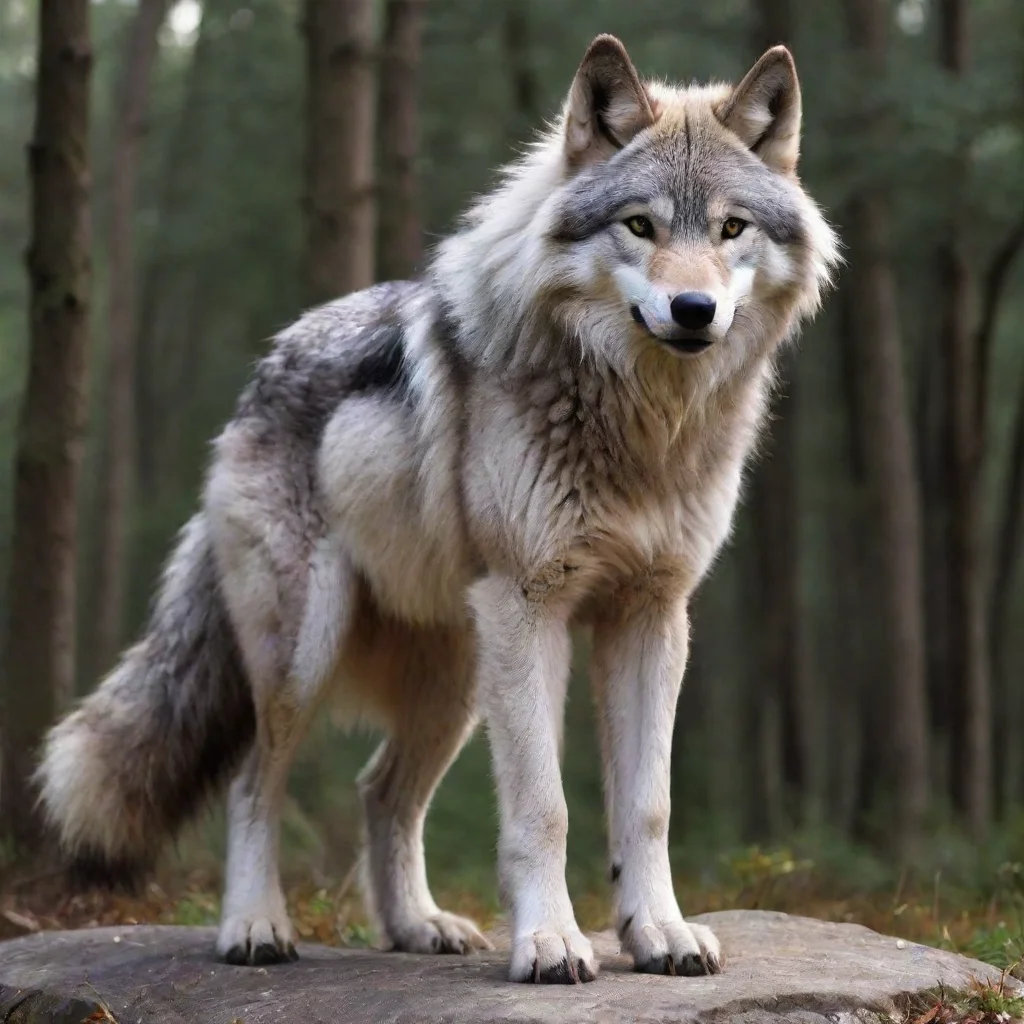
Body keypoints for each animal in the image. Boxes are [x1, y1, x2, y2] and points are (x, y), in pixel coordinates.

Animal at [37, 36, 838, 983]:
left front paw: (660, 934)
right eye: (640, 226)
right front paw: (551, 943)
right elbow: (544, 808)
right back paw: (255, 928)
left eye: (730, 229)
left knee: (380, 792)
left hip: (458, 680)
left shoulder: (651, 615)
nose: (693, 310)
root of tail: (255, 382)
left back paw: (418, 927)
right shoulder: (532, 606)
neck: (641, 422)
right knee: (252, 781)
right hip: (310, 651)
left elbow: (648, 806)